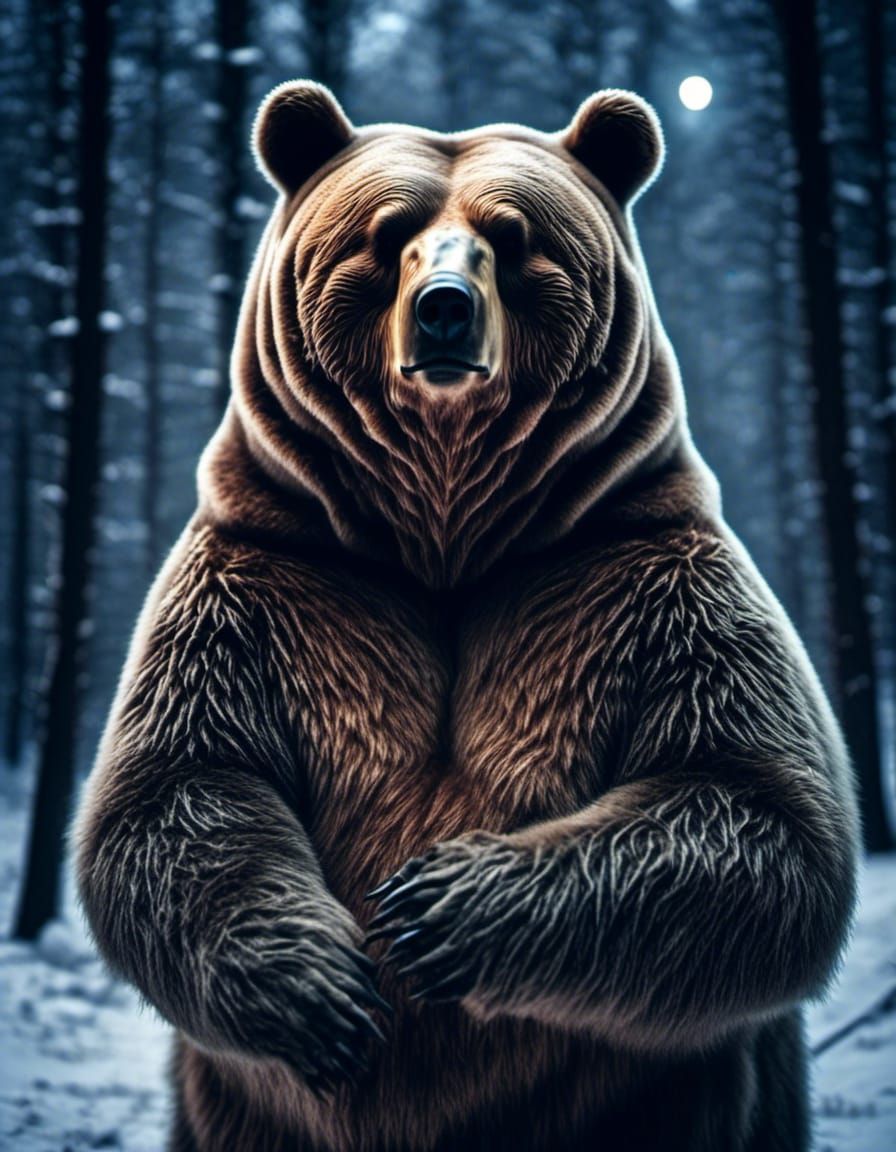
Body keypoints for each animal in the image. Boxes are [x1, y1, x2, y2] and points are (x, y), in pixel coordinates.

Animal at [75, 81, 859, 1152]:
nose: (444, 307)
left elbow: (752, 811)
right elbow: (178, 793)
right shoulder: (266, 583)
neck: (445, 541)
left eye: (513, 237)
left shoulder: (642, 576)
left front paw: (435, 909)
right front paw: (325, 994)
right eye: (386, 235)